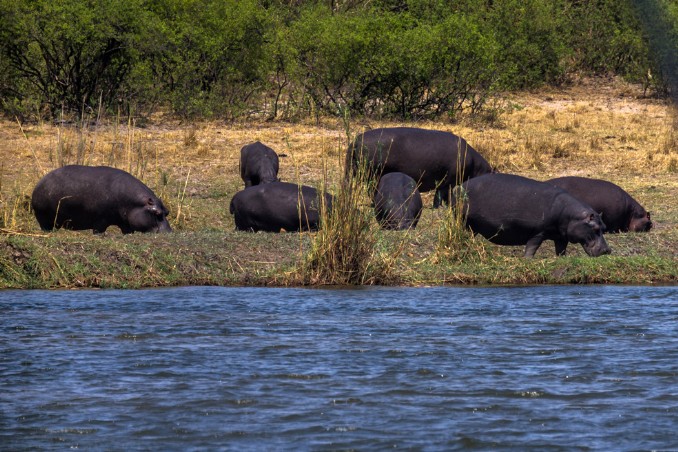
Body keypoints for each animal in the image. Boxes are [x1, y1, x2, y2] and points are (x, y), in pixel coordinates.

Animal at [31, 164, 173, 233]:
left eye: (167, 212)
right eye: (157, 213)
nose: (169, 234)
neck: (135, 204)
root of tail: (39, 182)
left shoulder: (126, 224)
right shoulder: (100, 220)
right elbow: (98, 231)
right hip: (43, 219)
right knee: (46, 227)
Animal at [348, 125, 492, 207]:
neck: (477, 168)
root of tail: (355, 140)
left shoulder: (446, 182)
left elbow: (442, 196)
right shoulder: (448, 181)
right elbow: (442, 195)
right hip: (373, 174)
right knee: (372, 190)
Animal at [460, 173, 612, 258]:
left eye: (604, 227)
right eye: (595, 228)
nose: (607, 250)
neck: (571, 215)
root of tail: (459, 186)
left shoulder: (561, 236)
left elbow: (561, 250)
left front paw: (562, 258)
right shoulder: (538, 232)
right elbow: (532, 247)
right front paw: (527, 259)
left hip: (472, 226)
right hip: (464, 221)